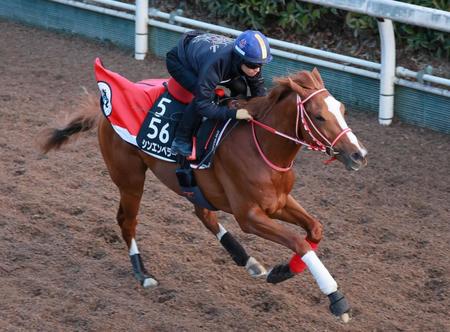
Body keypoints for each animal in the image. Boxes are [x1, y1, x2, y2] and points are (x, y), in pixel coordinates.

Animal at [40, 66, 368, 322]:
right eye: (319, 116)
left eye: (342, 109)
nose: (359, 155)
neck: (262, 145)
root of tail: (105, 103)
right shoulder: (249, 215)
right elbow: (299, 241)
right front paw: (337, 300)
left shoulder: (279, 202)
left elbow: (314, 229)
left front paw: (280, 271)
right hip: (130, 179)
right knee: (127, 221)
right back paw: (143, 274)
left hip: (191, 187)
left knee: (204, 214)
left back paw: (248, 261)